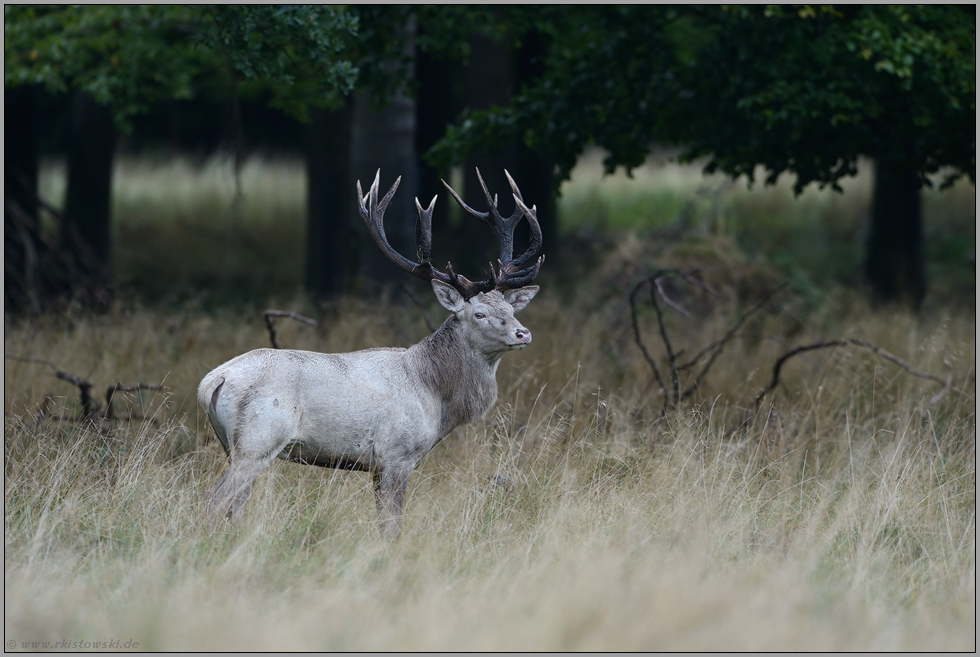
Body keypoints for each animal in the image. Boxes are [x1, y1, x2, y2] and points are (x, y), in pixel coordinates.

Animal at [197, 168, 544, 538]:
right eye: (478, 313)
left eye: (510, 308)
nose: (523, 333)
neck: (436, 398)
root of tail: (213, 381)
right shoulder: (397, 454)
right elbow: (392, 525)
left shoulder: (379, 465)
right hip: (257, 440)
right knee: (216, 501)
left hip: (232, 445)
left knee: (232, 505)